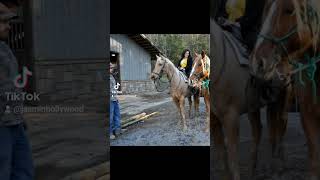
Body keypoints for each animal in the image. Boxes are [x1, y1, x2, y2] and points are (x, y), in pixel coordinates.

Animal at [210, 17, 292, 180]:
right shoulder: (214, 120)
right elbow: (222, 155)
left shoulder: (230, 117)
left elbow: (232, 156)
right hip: (255, 106)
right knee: (261, 131)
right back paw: (256, 168)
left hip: (282, 98)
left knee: (280, 125)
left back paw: (279, 164)